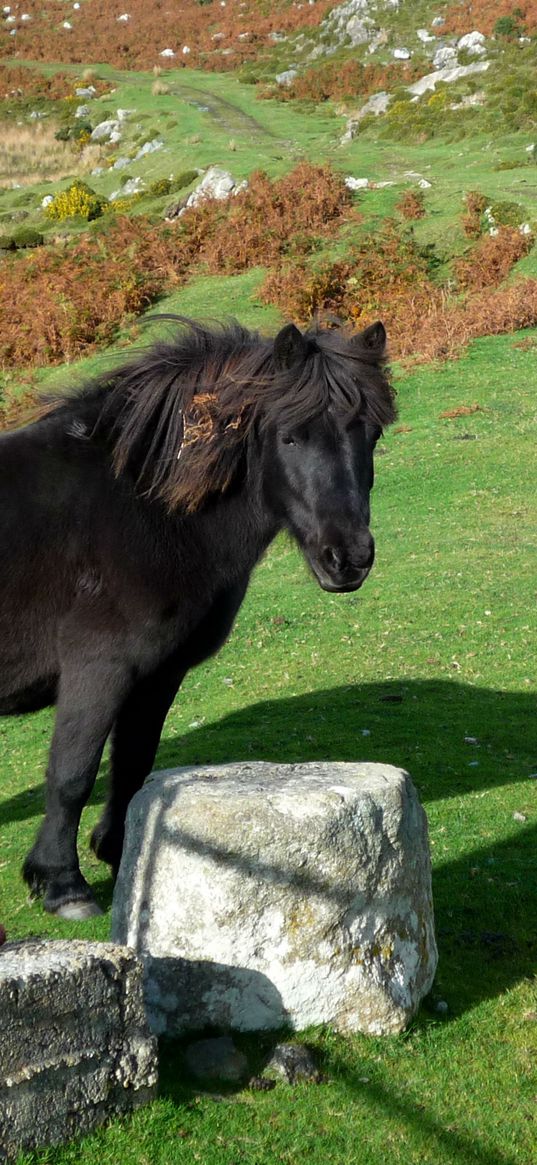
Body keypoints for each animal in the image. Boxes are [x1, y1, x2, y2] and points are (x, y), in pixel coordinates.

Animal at [0, 319, 396, 918]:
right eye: (290, 437)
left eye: (370, 435)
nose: (348, 558)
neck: (145, 506)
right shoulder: (99, 668)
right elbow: (72, 773)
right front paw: (61, 884)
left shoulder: (156, 674)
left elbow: (133, 764)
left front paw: (125, 854)